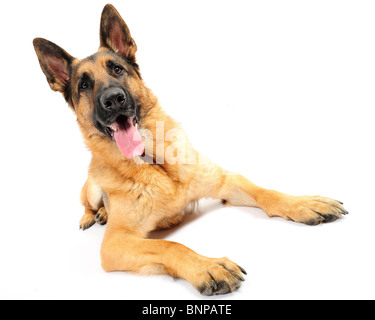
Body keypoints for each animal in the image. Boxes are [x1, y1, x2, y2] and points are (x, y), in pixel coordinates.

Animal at [34, 4, 350, 296]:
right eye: (84, 85)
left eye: (117, 69)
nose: (113, 99)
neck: (155, 163)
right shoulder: (115, 243)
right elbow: (168, 244)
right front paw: (206, 266)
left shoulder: (227, 181)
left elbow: (267, 193)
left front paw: (303, 204)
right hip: (90, 188)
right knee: (88, 203)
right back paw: (93, 215)